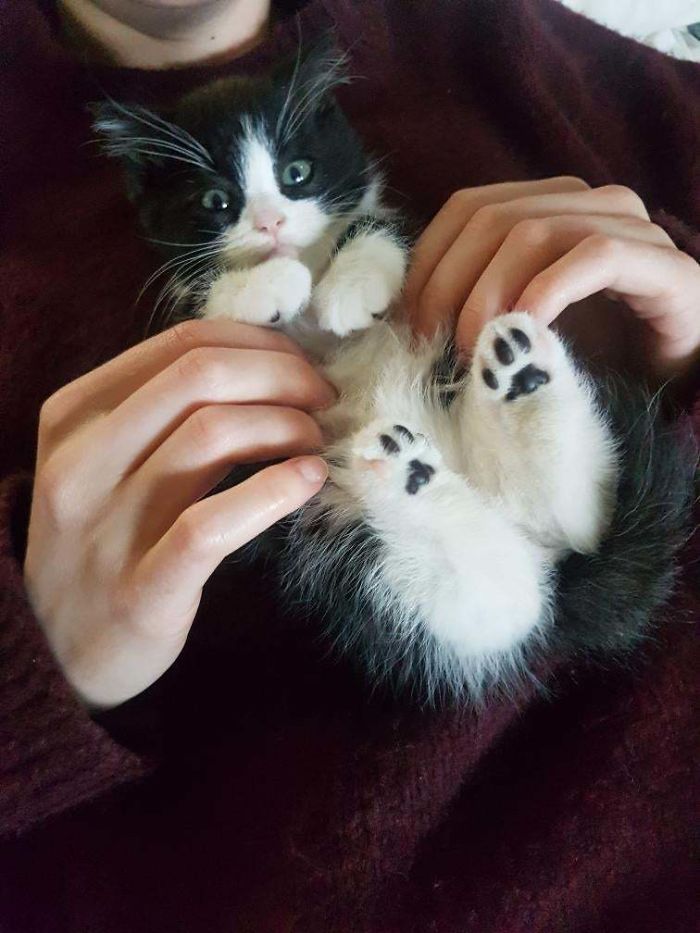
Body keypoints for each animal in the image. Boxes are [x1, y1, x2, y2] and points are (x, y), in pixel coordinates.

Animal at [93, 43, 696, 700]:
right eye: (214, 201)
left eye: (297, 173)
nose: (271, 223)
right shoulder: (189, 320)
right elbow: (209, 296)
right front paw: (271, 284)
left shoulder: (394, 221)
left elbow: (386, 227)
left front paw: (350, 285)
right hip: (352, 557)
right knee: (502, 599)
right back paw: (410, 468)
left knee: (566, 524)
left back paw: (520, 381)